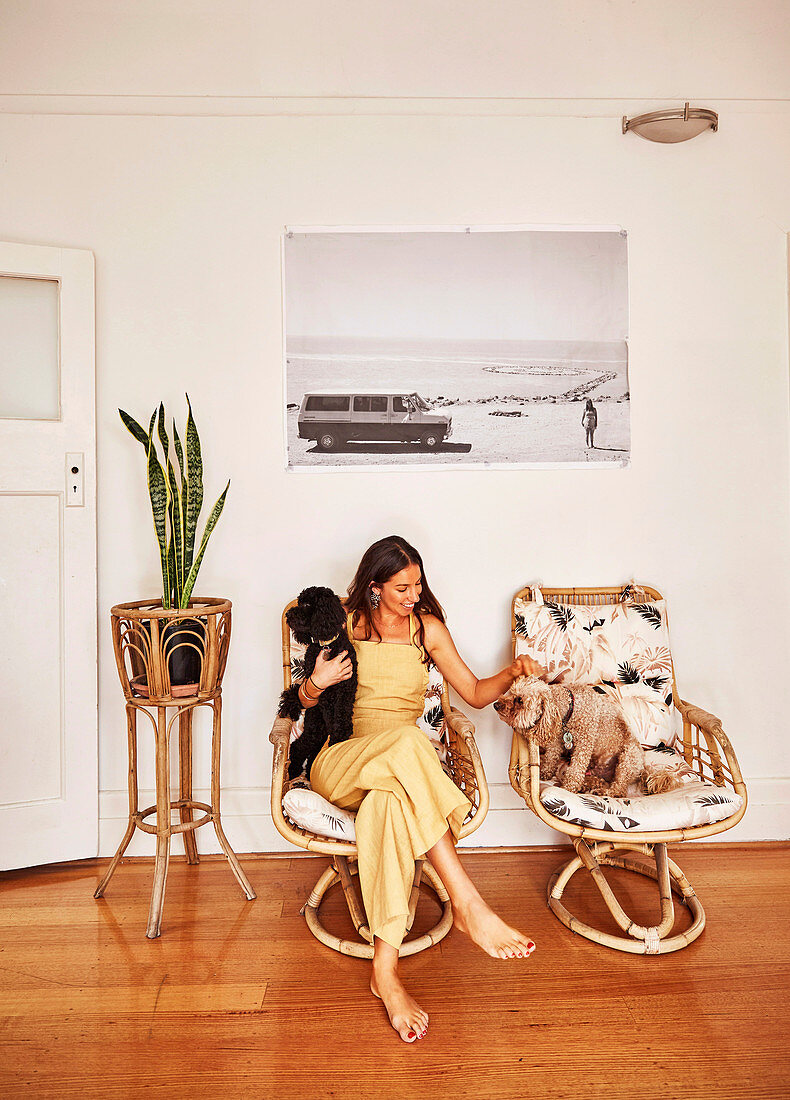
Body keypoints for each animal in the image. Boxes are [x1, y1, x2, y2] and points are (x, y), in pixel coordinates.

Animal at [278, 585, 358, 783]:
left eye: (307, 604)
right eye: (299, 602)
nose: (288, 615)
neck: (326, 645)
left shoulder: (345, 688)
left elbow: (342, 713)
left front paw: (340, 735)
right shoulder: (325, 691)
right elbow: (331, 715)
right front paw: (337, 739)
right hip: (315, 728)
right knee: (299, 746)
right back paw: (294, 771)